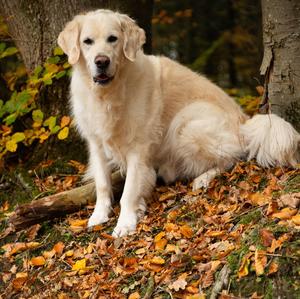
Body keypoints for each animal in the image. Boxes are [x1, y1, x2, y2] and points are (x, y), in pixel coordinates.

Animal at [56, 9, 300, 238]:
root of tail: (244, 123)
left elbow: (130, 190)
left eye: (112, 39)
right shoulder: (96, 143)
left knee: (233, 158)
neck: (107, 95)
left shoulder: (139, 146)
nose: (102, 62)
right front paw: (99, 215)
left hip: (185, 123)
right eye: (87, 41)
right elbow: (102, 183)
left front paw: (125, 223)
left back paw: (202, 178)